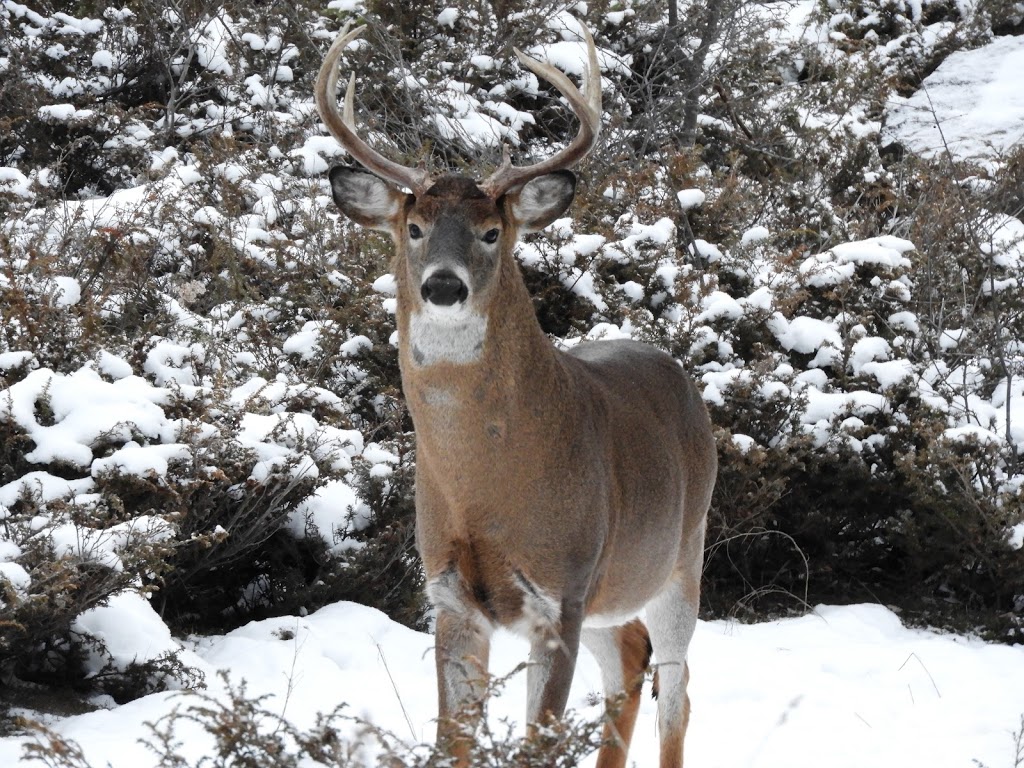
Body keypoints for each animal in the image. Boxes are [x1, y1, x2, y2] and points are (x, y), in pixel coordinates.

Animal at [315, 24, 716, 768]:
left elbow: (537, 743)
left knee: (676, 689)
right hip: (611, 589)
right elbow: (451, 744)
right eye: (414, 228)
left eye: (491, 231)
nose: (444, 285)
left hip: (682, 555)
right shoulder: (450, 597)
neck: (485, 489)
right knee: (629, 659)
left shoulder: (559, 592)